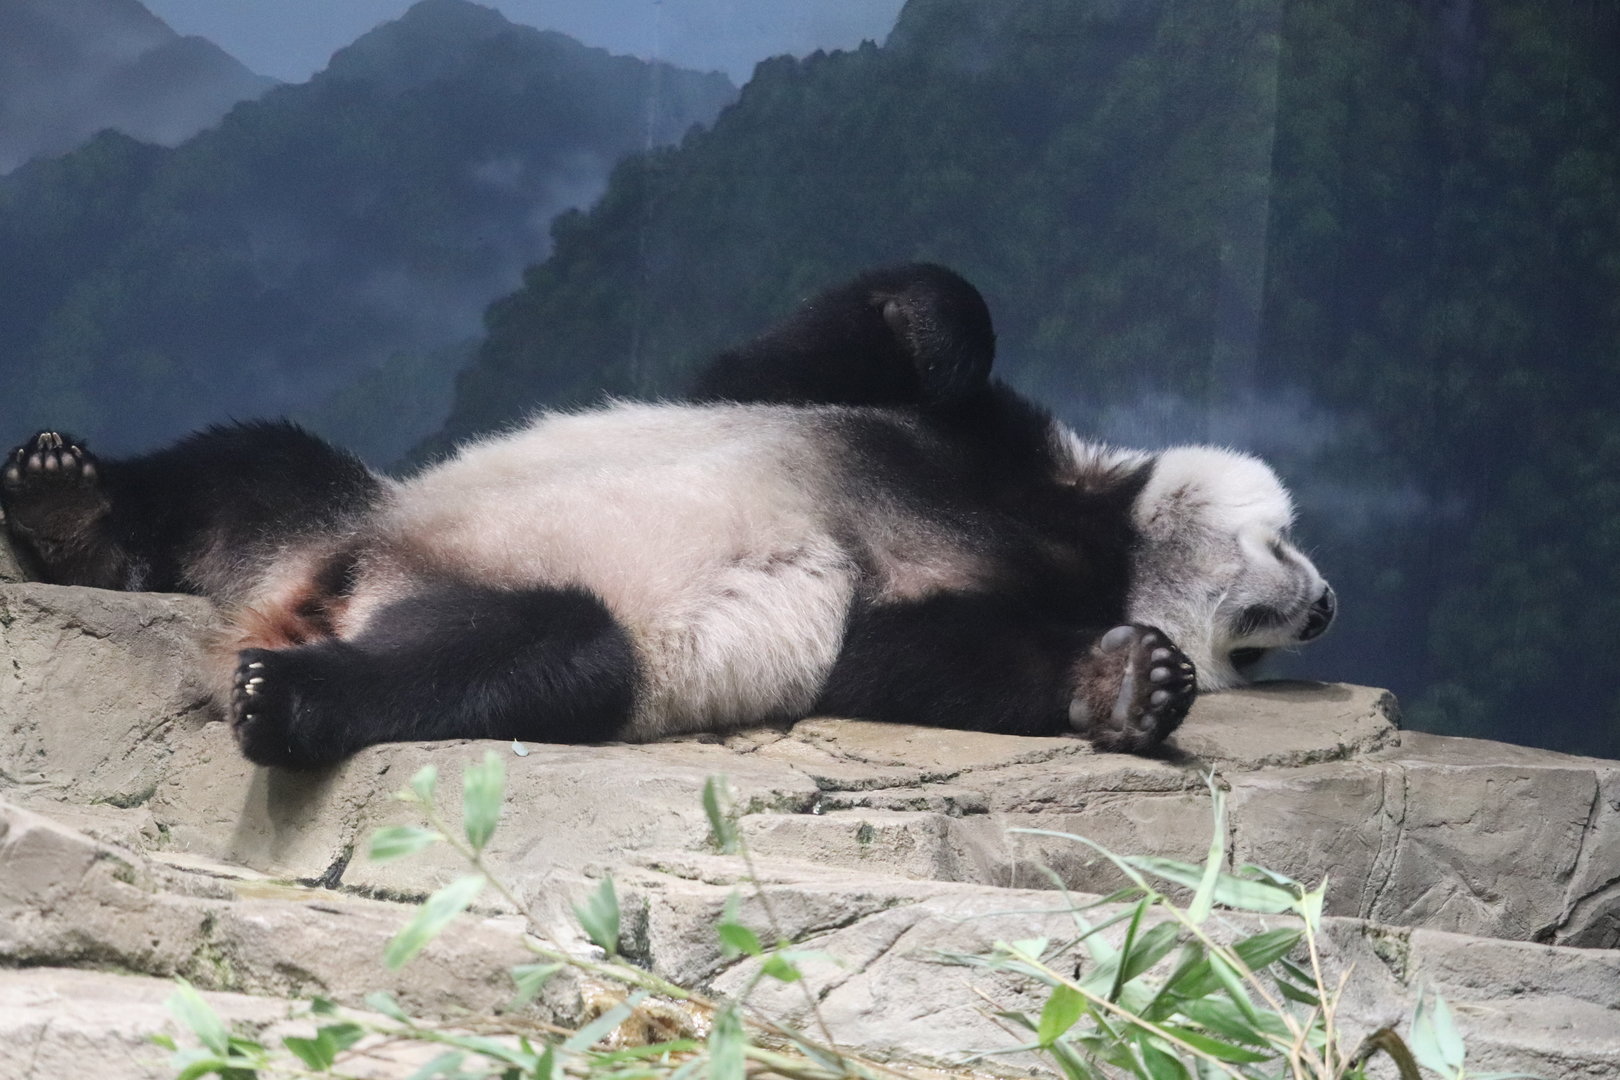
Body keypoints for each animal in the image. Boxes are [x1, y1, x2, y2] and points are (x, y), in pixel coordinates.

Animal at [0, 264, 1334, 769]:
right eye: (1284, 537)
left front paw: (1133, 684)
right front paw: (941, 327)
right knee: (246, 461)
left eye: (1254, 652)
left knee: (536, 653)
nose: (1323, 607)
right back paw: (68, 504)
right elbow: (786, 357)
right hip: (353, 499)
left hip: (533, 620)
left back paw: (288, 694)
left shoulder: (983, 589)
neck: (1085, 530)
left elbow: (892, 656)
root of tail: (311, 590)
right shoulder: (965, 434)